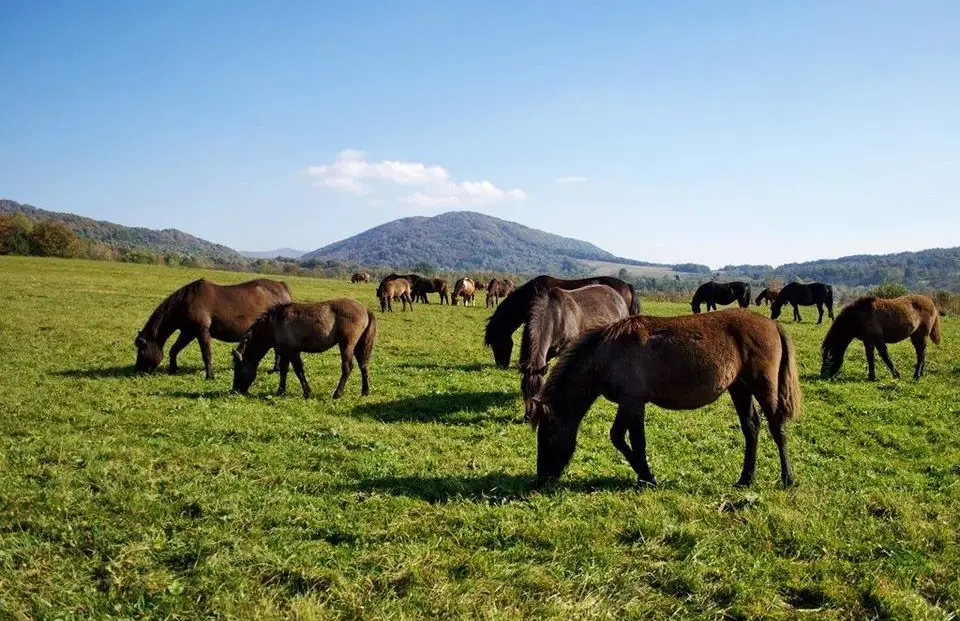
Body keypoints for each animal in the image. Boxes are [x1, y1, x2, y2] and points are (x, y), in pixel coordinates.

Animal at [135, 278, 290, 378]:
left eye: (141, 350)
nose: (138, 370)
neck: (187, 301)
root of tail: (281, 287)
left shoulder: (201, 331)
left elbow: (206, 354)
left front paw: (210, 375)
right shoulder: (188, 332)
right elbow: (174, 349)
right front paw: (173, 370)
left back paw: (276, 369)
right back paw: (275, 369)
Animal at [232, 300, 378, 398]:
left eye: (238, 369)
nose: (234, 391)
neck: (275, 324)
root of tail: (365, 309)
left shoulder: (293, 352)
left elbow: (299, 371)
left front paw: (307, 392)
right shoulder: (285, 352)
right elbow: (284, 371)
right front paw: (280, 391)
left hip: (347, 345)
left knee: (347, 368)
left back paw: (337, 394)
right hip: (359, 346)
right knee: (363, 366)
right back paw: (365, 391)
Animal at [524, 310, 804, 490]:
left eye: (546, 437)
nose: (541, 481)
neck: (608, 353)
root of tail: (772, 324)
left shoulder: (631, 402)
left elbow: (621, 437)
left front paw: (648, 477)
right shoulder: (635, 405)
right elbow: (634, 441)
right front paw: (644, 477)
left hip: (763, 386)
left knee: (776, 427)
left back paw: (788, 479)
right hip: (740, 389)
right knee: (751, 427)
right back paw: (746, 479)